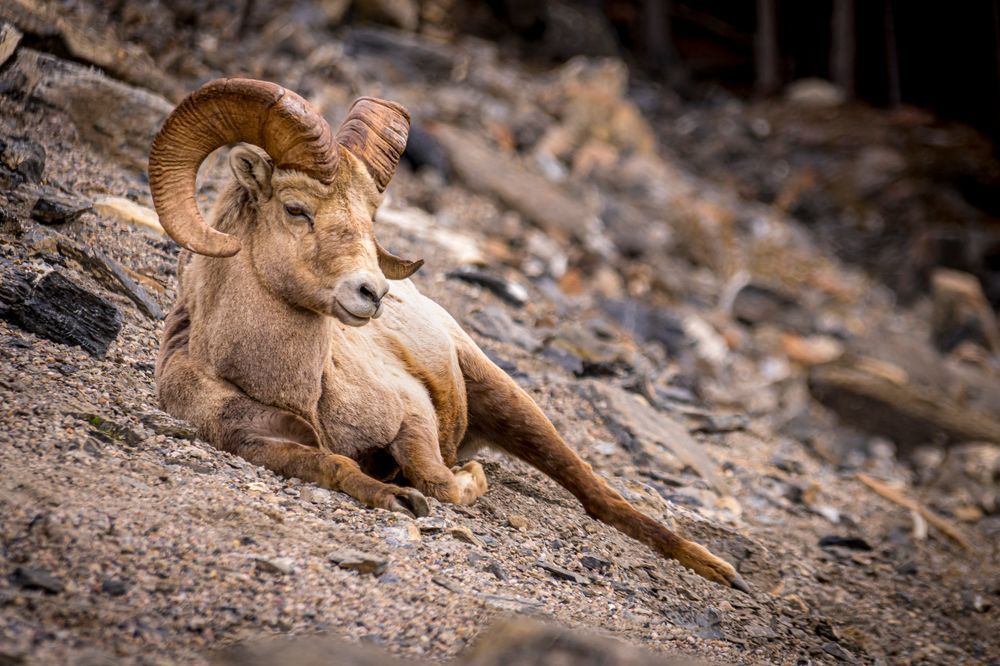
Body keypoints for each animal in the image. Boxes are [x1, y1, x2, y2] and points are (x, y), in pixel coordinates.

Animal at [147, 78, 748, 592]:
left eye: (369, 220)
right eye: (296, 209)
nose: (372, 293)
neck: (300, 390)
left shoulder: (412, 414)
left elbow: (436, 477)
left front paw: (466, 478)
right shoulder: (252, 442)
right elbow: (334, 465)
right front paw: (395, 497)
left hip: (505, 394)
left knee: (594, 491)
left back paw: (722, 572)